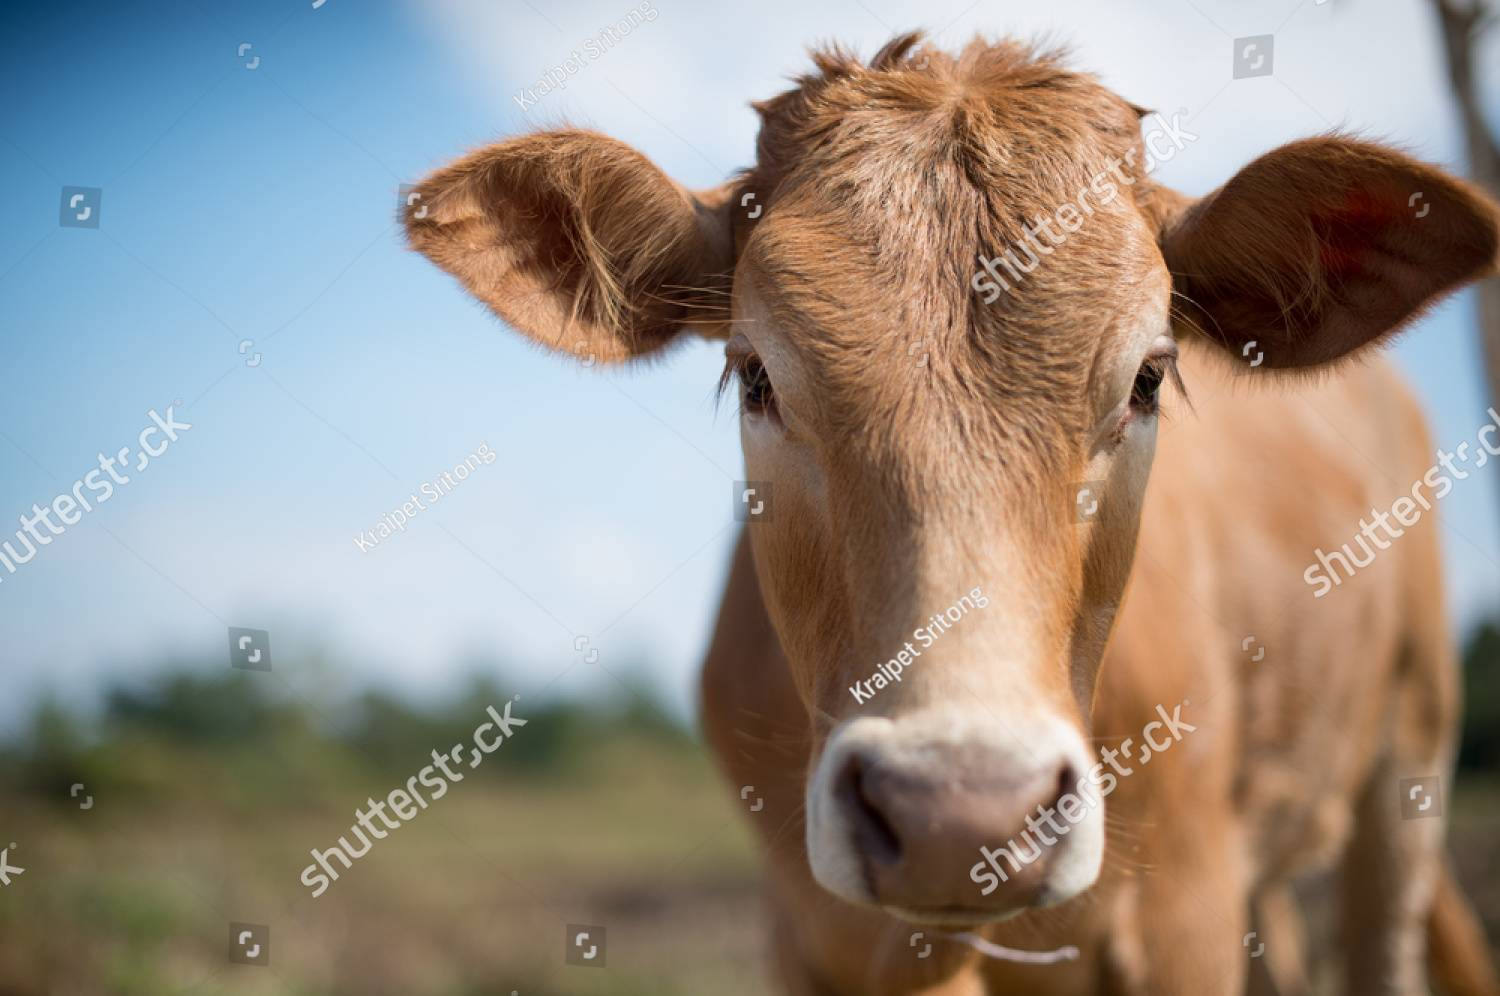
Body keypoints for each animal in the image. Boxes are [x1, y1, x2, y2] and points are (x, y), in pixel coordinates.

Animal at [404, 32, 1500, 996]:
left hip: (1408, 758)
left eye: (1149, 377)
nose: (961, 817)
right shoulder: (807, 932)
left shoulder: (1186, 913)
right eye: (755, 375)